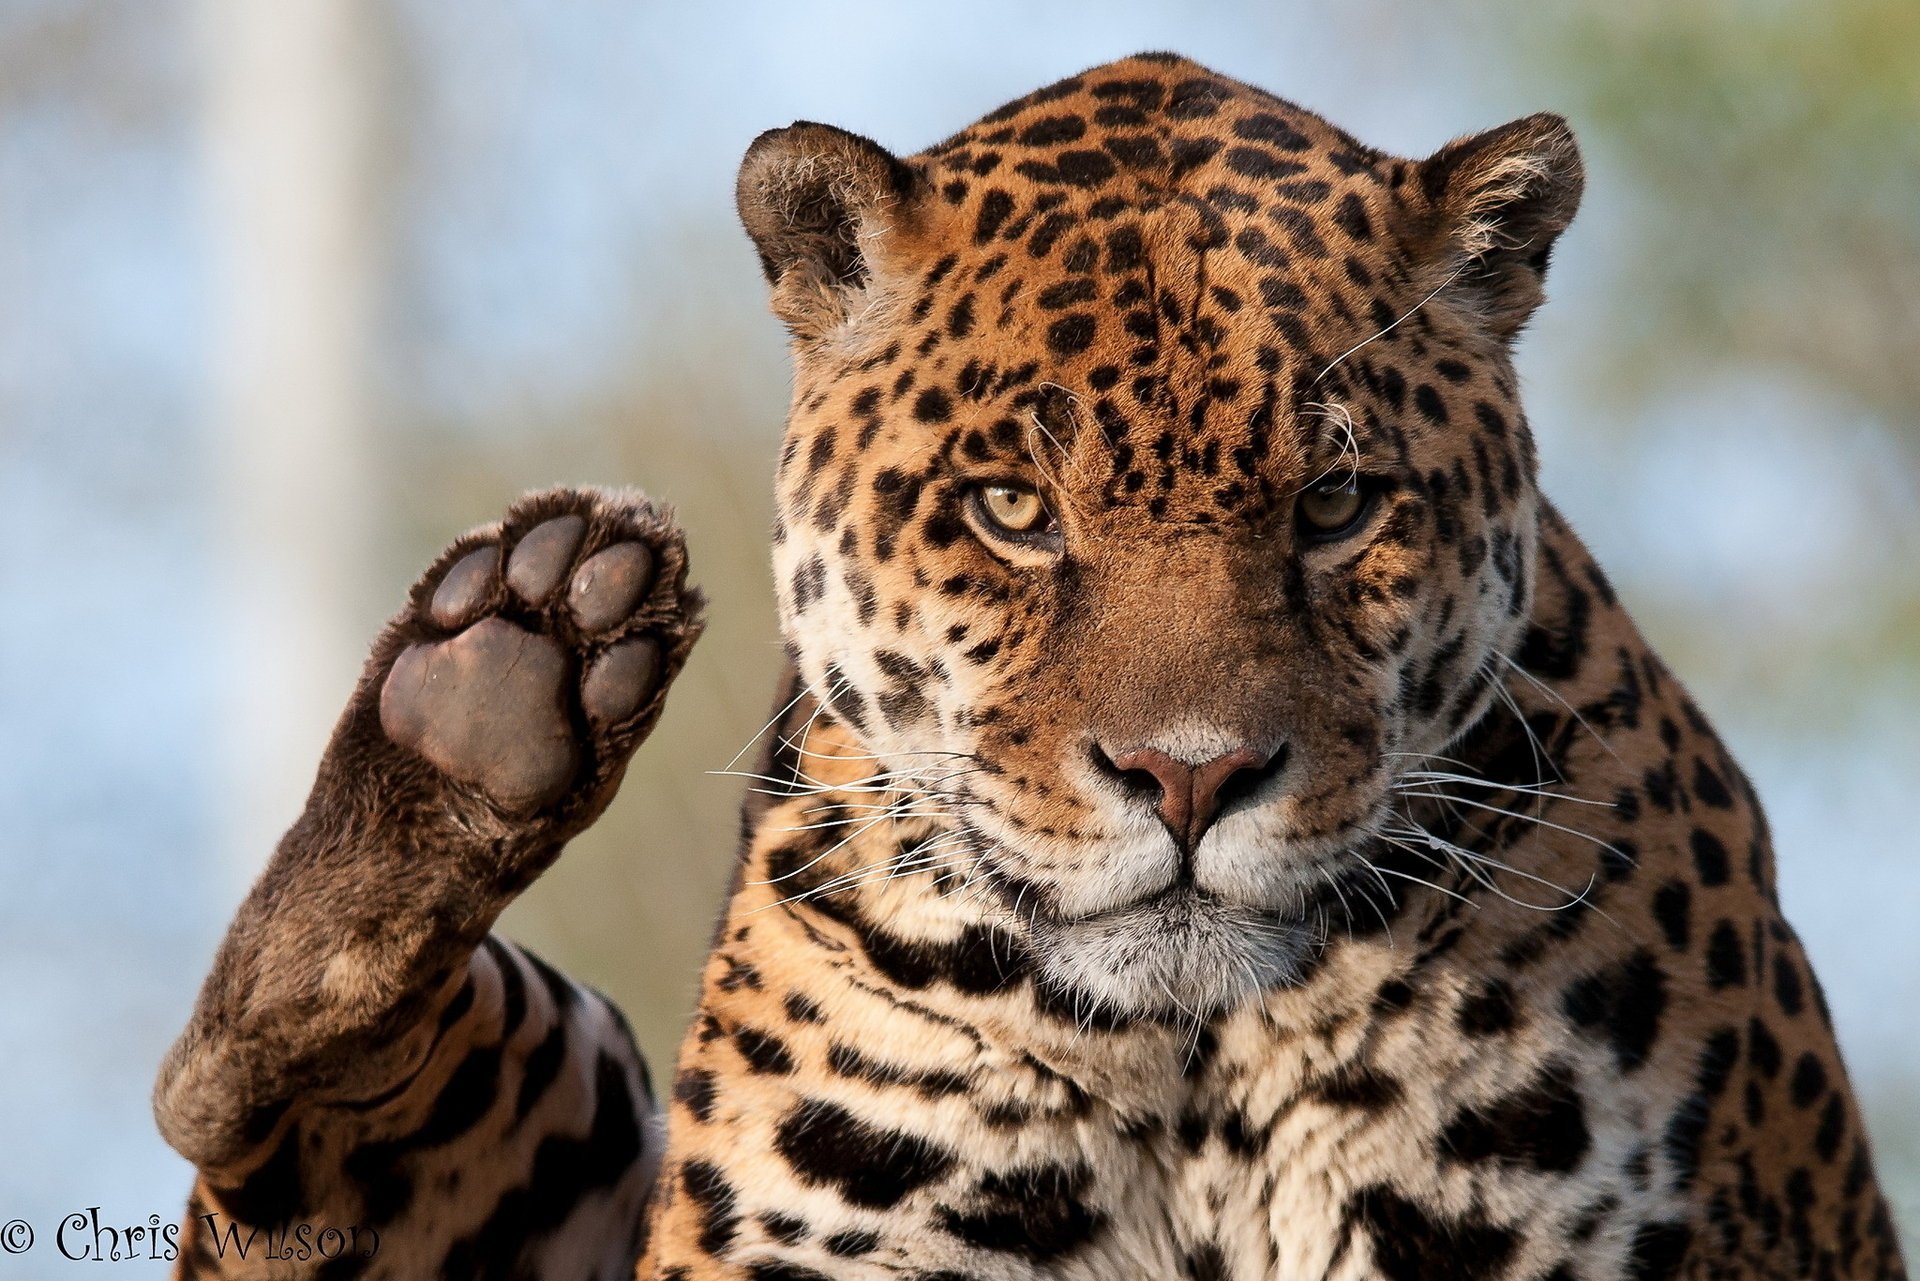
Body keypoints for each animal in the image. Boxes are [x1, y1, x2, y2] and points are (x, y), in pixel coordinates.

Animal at [154, 53, 1907, 1281]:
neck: (1200, 1079)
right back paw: (499, 676)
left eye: (1338, 505)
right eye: (1012, 510)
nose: (1190, 778)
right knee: (238, 1109)